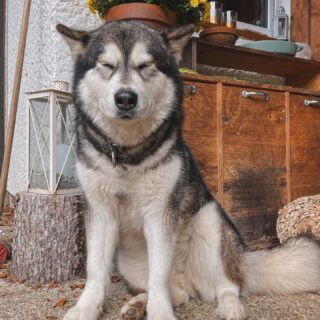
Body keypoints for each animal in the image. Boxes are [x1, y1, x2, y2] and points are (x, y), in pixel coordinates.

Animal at [57, 21, 320, 318]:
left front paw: (160, 313)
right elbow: (96, 271)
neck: (127, 153)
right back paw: (138, 304)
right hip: (129, 261)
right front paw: (86, 307)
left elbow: (158, 276)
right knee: (179, 294)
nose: (125, 98)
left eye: (145, 65)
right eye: (107, 65)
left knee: (227, 285)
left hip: (212, 223)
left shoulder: (160, 212)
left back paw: (230, 307)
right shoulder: (99, 211)